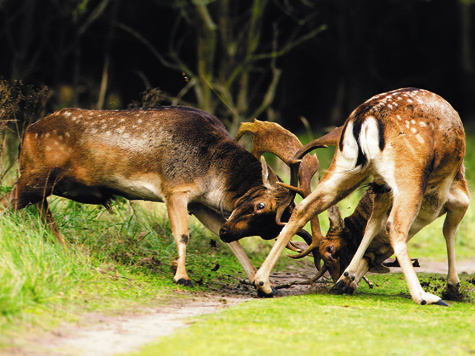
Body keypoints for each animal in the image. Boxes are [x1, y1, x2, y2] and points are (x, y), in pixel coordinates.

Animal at [1, 105, 320, 286]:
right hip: (35, 175)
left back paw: (66, 249)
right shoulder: (175, 188)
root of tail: (26, 132)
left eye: (270, 231)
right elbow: (182, 234)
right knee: (8, 203)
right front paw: (182, 276)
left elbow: (228, 241)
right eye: (260, 205)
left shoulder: (199, 204)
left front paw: (259, 281)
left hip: (42, 183)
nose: (229, 231)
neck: (212, 172)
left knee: (42, 211)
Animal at [251, 89, 470, 306]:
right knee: (395, 225)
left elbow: (371, 226)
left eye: (333, 252)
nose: (341, 281)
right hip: (410, 171)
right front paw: (453, 287)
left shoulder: (382, 189)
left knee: (304, 207)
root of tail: (366, 115)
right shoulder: (457, 194)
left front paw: (346, 278)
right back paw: (425, 296)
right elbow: (449, 230)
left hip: (345, 164)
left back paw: (263, 284)